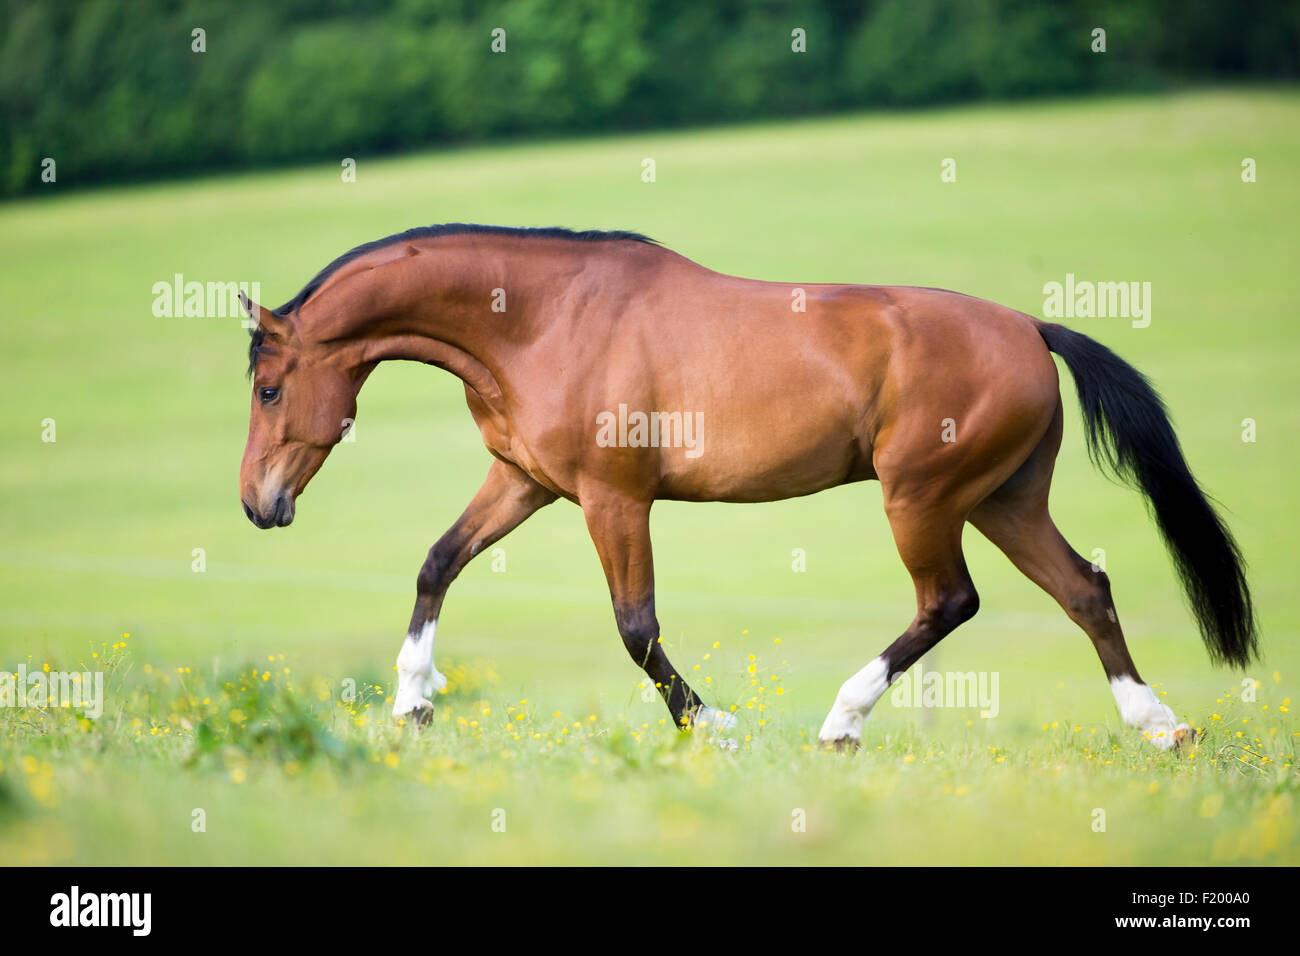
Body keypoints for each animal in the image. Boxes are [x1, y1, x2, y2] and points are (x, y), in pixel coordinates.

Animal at [238, 224, 1255, 751]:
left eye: (269, 388)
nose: (257, 505)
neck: (540, 320)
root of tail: (1031, 329)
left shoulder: (615, 498)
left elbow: (636, 628)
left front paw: (714, 723)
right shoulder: (525, 481)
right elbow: (437, 562)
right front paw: (411, 701)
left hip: (921, 498)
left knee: (951, 601)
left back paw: (842, 724)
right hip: (1004, 500)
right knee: (1086, 589)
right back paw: (1160, 726)